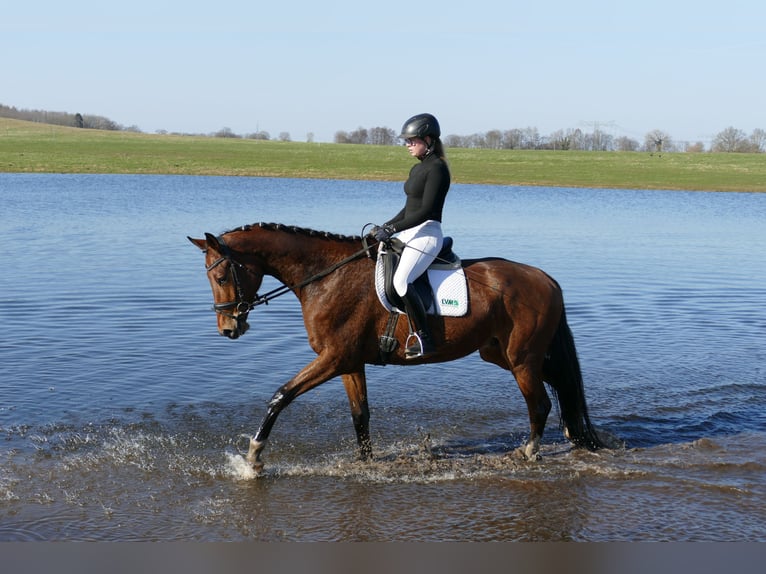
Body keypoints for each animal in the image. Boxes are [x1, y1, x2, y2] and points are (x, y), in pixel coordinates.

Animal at [188, 222, 604, 475]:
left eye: (221, 276)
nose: (228, 328)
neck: (326, 276)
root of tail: (545, 278)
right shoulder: (349, 363)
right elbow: (361, 415)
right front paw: (366, 462)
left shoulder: (333, 358)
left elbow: (280, 395)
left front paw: (253, 458)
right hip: (501, 354)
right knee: (560, 386)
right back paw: (573, 434)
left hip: (521, 359)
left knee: (542, 402)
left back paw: (531, 450)